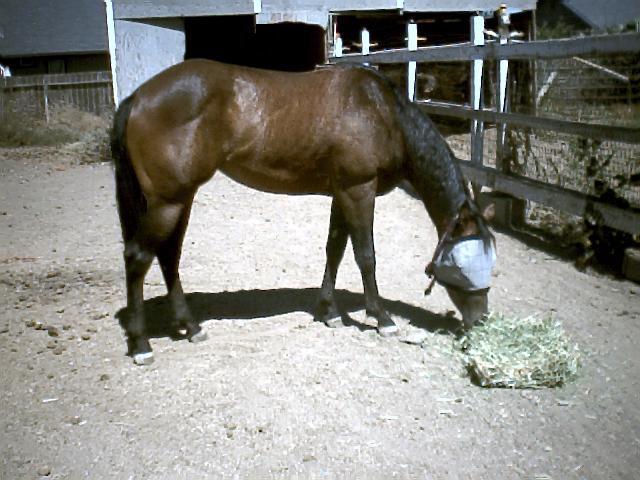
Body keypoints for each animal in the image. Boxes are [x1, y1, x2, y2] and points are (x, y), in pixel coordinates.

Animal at [110, 59, 495, 365]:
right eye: (463, 266)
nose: (481, 321)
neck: (382, 113)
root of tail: (139, 97)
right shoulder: (359, 191)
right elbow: (365, 255)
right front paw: (382, 318)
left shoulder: (342, 193)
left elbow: (334, 250)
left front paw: (329, 312)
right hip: (167, 201)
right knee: (138, 257)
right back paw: (141, 345)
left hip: (180, 199)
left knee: (168, 256)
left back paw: (190, 328)